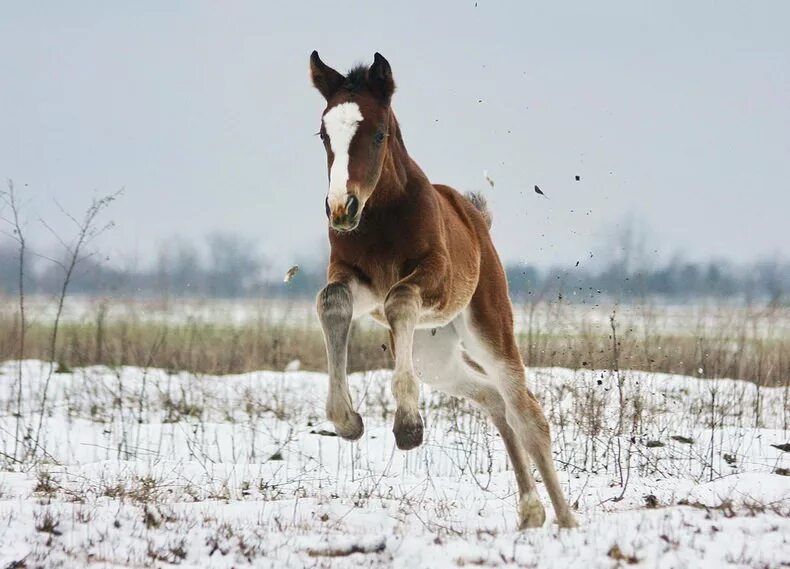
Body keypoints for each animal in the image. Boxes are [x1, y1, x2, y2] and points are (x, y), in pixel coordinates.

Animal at [312, 50, 580, 528]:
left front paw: (407, 427)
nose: (342, 209)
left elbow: (401, 299)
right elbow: (332, 301)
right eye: (324, 134)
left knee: (526, 414)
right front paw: (346, 420)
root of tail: (478, 220)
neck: (381, 219)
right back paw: (531, 510)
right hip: (433, 355)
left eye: (378, 133)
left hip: (488, 328)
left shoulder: (432, 277)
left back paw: (566, 521)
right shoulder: (355, 279)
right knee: (494, 401)